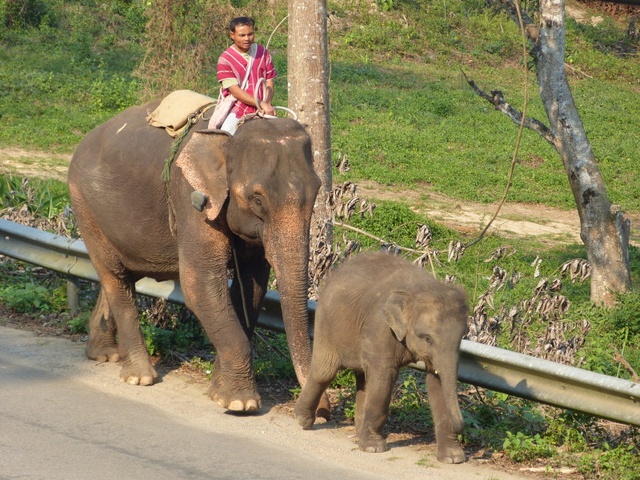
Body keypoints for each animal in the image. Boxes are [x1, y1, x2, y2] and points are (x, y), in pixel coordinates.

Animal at [67, 100, 322, 412]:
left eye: (317, 191)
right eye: (257, 199)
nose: (321, 411)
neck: (230, 137)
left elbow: (253, 288)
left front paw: (218, 392)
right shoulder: (192, 197)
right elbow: (200, 284)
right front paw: (241, 403)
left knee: (118, 274)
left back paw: (103, 355)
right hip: (84, 205)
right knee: (114, 275)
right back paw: (139, 376)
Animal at [296, 253, 470, 464]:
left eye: (462, 337)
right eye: (427, 338)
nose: (461, 426)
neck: (421, 288)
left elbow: (437, 381)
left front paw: (453, 459)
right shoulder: (380, 326)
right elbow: (384, 376)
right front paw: (374, 449)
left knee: (363, 377)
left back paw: (359, 432)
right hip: (325, 322)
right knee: (324, 372)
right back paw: (303, 421)